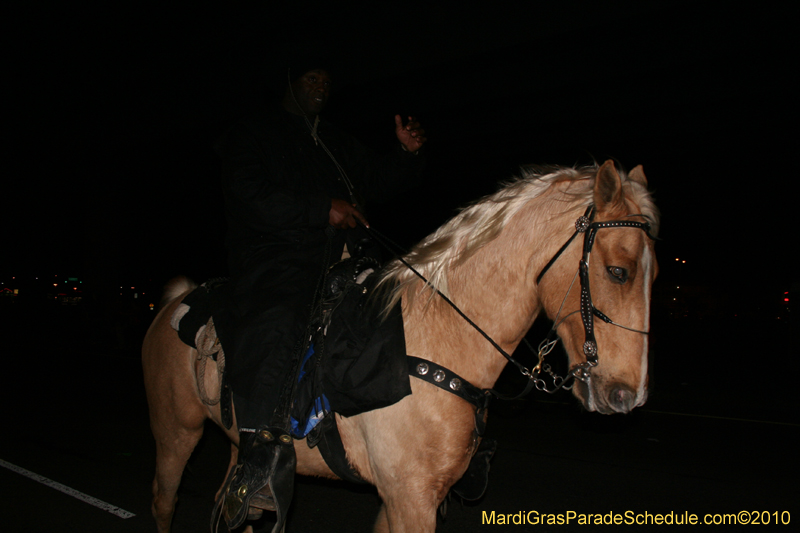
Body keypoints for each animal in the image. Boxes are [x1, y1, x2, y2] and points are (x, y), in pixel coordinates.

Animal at [141, 160, 660, 528]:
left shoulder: (405, 499)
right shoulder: (409, 499)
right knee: (164, 502)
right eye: (618, 271)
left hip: (235, 445)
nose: (627, 396)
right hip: (176, 434)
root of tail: (175, 302)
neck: (436, 340)